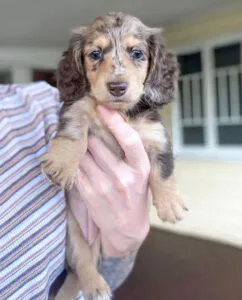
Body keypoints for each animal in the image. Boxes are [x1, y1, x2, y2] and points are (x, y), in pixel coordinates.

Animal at [41, 11, 186, 300]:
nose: (117, 86)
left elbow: (164, 171)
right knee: (82, 264)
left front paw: (170, 203)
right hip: (72, 235)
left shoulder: (157, 137)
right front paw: (63, 164)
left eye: (137, 53)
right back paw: (94, 286)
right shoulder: (77, 108)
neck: (122, 112)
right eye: (95, 54)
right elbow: (74, 133)